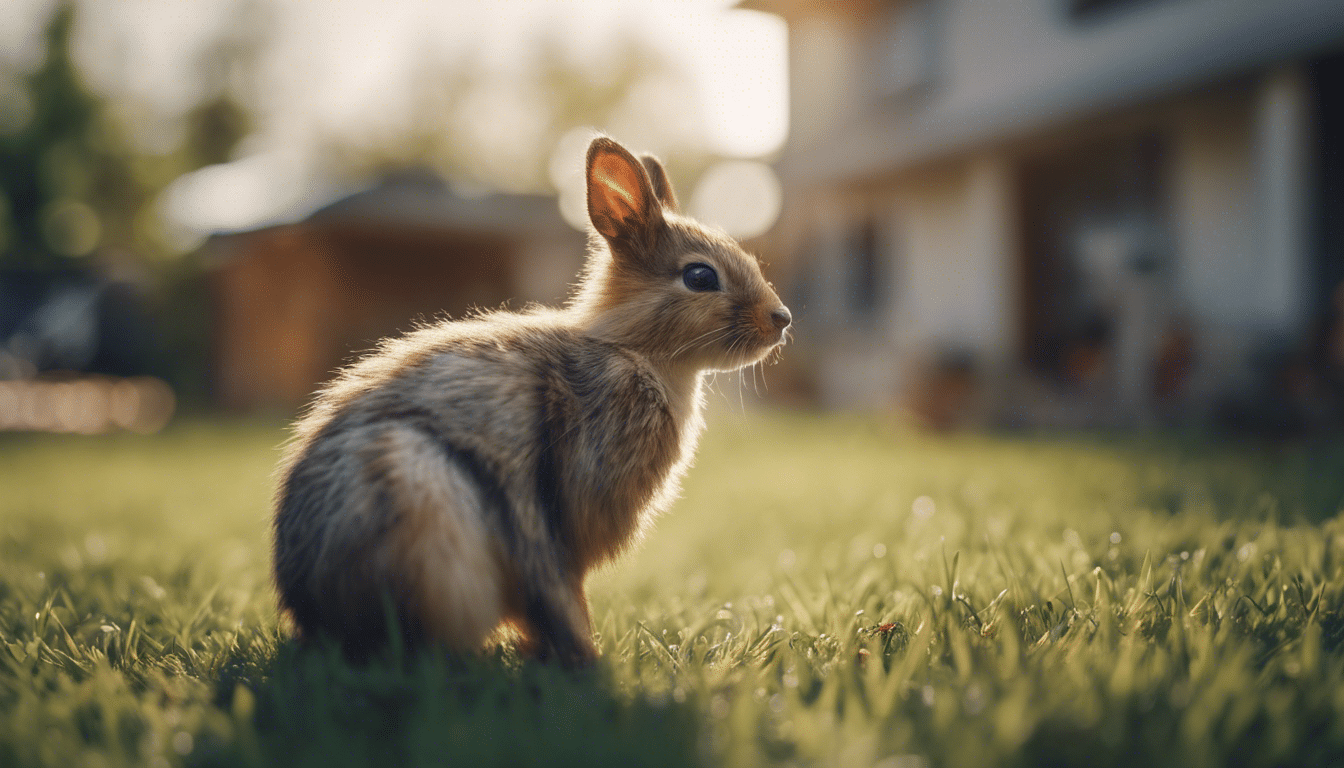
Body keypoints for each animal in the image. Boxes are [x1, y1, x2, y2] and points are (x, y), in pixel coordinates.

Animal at [274, 136, 790, 667]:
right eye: (700, 276)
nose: (782, 318)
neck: (637, 352)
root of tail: (314, 614)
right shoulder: (556, 516)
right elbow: (558, 592)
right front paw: (585, 659)